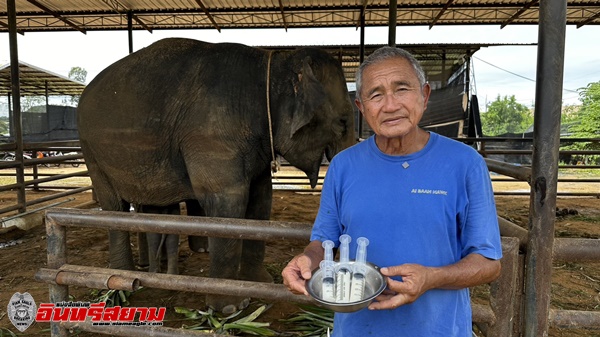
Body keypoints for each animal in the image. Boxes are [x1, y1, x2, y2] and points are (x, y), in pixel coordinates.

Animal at [77, 37, 354, 312]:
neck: (272, 65)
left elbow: (261, 198)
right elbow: (227, 203)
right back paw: (120, 282)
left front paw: (261, 283)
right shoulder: (212, 134)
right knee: (114, 206)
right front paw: (232, 308)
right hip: (93, 153)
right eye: (342, 122)